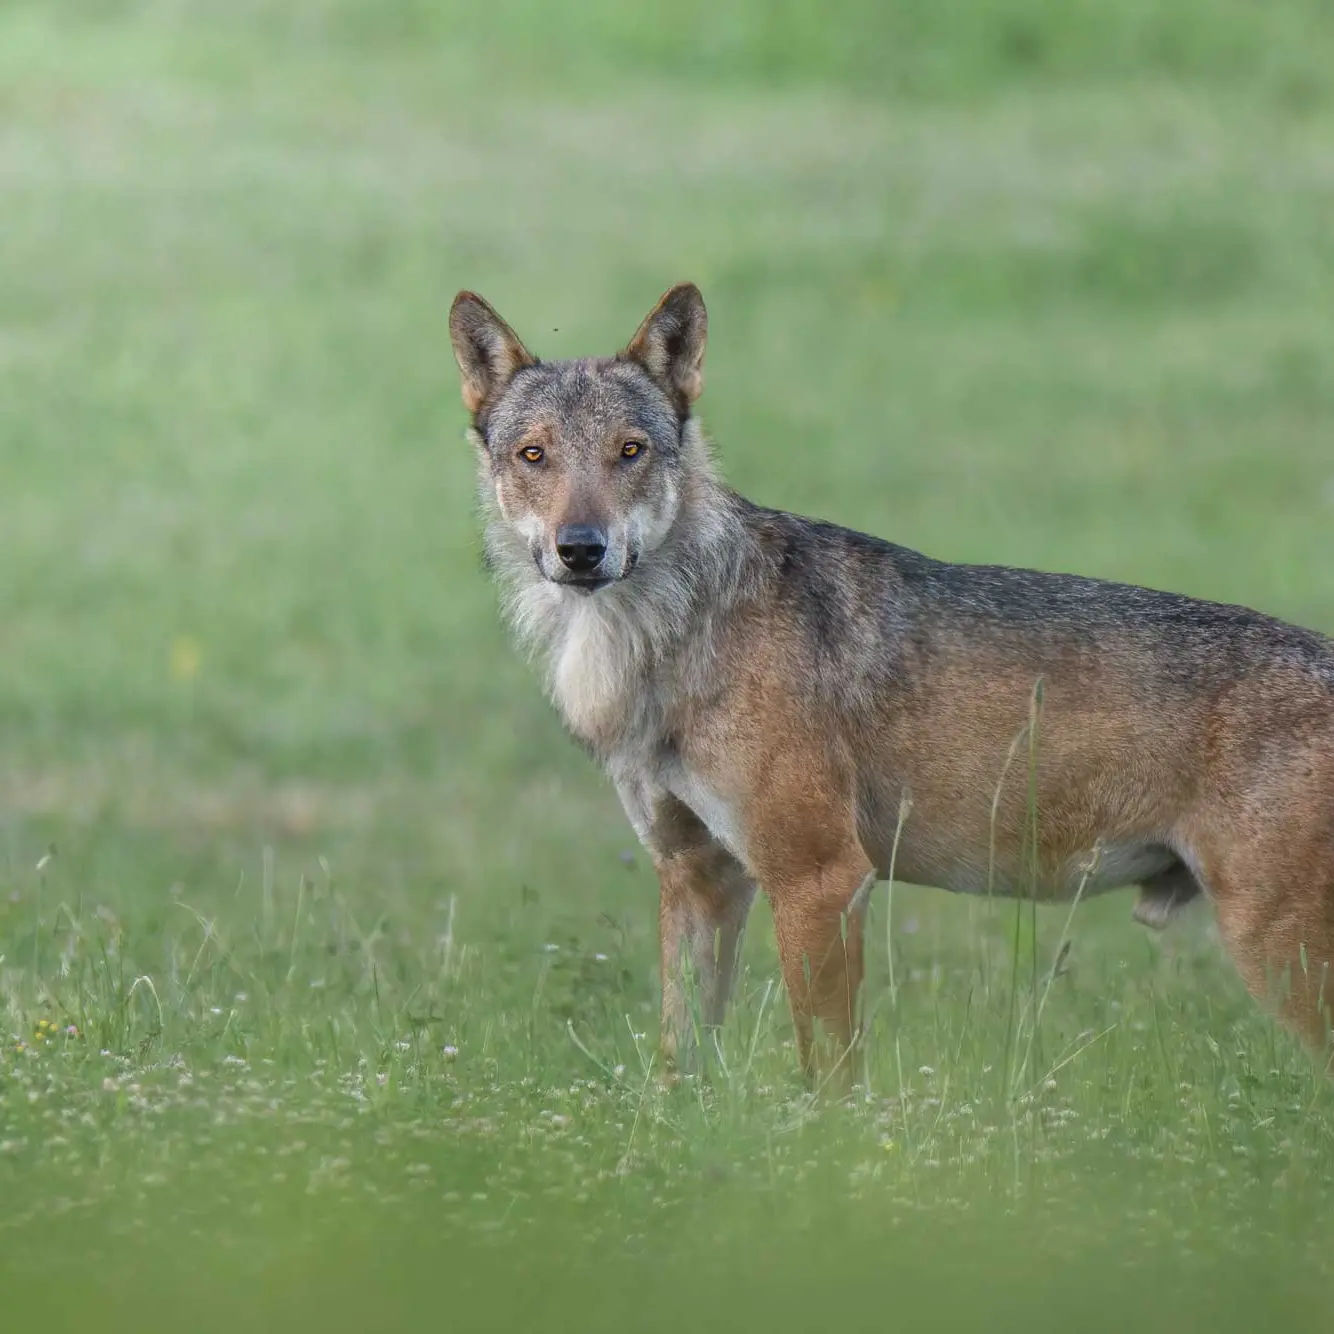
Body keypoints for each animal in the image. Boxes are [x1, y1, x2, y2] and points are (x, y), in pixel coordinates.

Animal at [449, 281, 1334, 1087]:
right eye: (534, 456)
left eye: (629, 451)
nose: (581, 549)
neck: (667, 637)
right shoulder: (698, 878)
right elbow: (678, 1067)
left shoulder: (822, 881)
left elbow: (830, 1082)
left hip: (1276, 951)